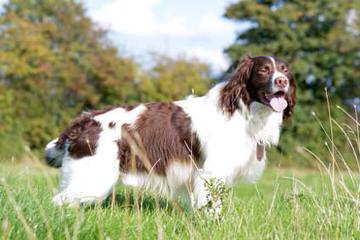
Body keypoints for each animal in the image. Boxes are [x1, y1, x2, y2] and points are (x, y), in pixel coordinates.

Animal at [44, 55, 296, 210]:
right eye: (263, 70)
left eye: (285, 70)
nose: (281, 81)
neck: (241, 111)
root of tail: (86, 119)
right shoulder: (210, 173)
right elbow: (212, 208)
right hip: (93, 178)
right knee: (59, 201)